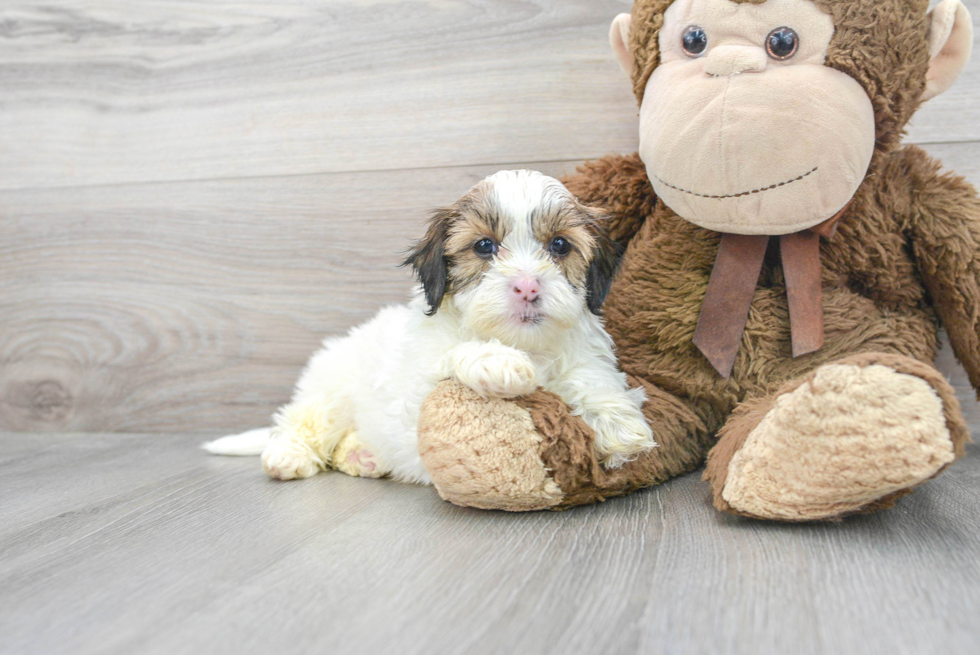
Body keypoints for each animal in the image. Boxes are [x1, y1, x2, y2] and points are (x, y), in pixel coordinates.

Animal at [203, 172, 656, 484]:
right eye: (485, 246)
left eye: (560, 245)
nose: (527, 285)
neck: (524, 342)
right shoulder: (418, 389)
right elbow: (453, 355)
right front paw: (499, 362)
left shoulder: (582, 352)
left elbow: (592, 376)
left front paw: (619, 424)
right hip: (332, 390)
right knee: (300, 420)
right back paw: (288, 455)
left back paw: (363, 456)